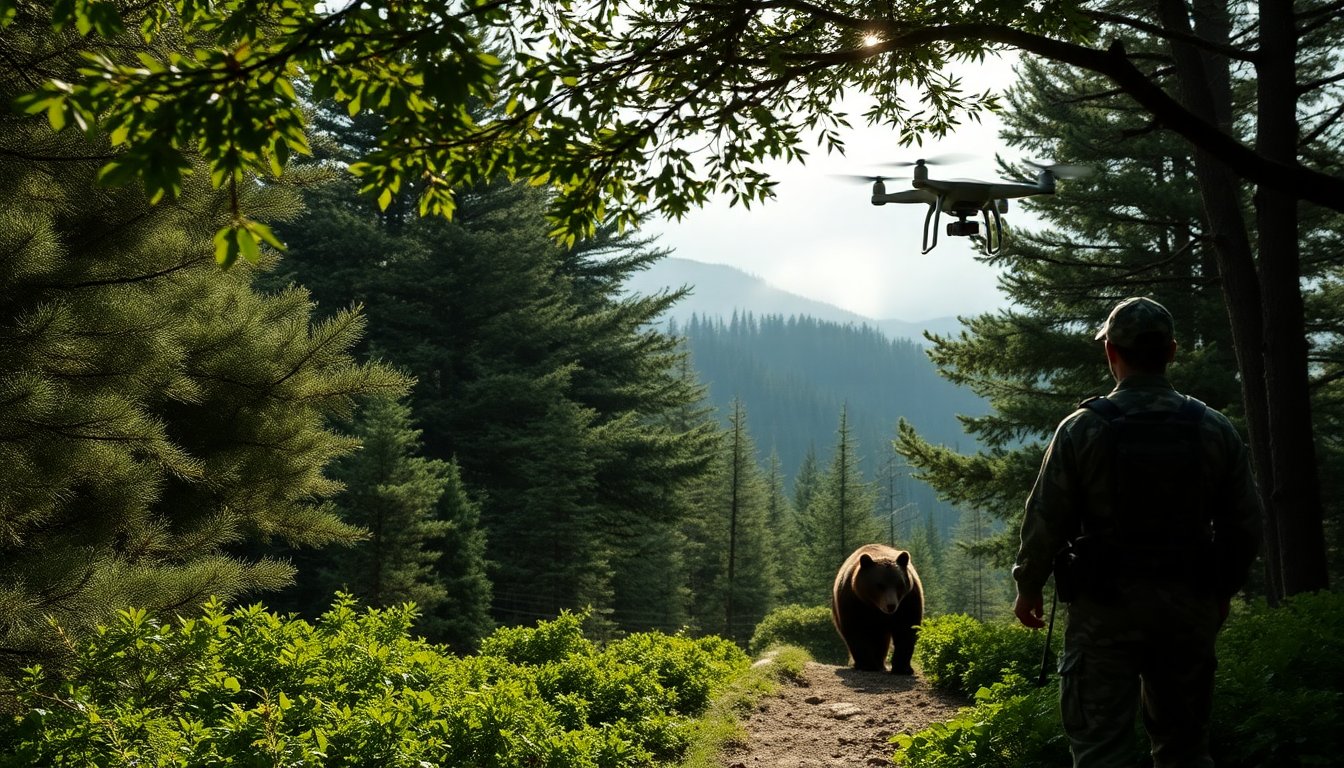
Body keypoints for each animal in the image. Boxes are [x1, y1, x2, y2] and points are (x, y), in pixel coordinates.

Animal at [831, 543, 924, 674]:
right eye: (880, 585)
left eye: (899, 584)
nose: (891, 605)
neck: (875, 607)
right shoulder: (853, 601)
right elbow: (856, 630)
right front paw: (867, 664)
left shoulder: (908, 601)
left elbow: (906, 629)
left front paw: (903, 668)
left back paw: (881, 664)